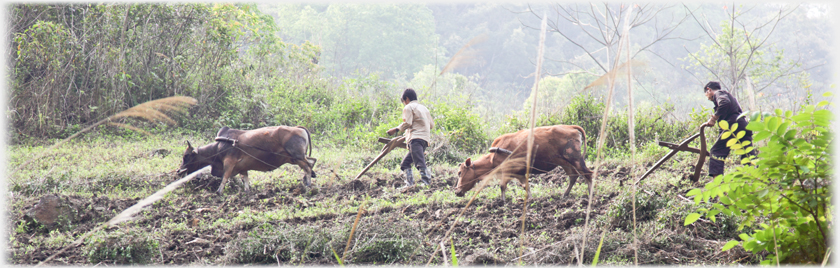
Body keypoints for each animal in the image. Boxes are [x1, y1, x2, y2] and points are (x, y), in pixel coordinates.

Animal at [456, 124, 592, 202]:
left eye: (460, 172)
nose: (457, 191)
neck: (492, 157)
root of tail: (571, 127)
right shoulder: (519, 174)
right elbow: (526, 186)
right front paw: (530, 199)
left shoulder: (506, 171)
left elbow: (502, 186)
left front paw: (502, 201)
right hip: (564, 162)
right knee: (573, 176)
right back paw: (565, 195)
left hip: (575, 159)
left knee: (588, 174)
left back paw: (591, 195)